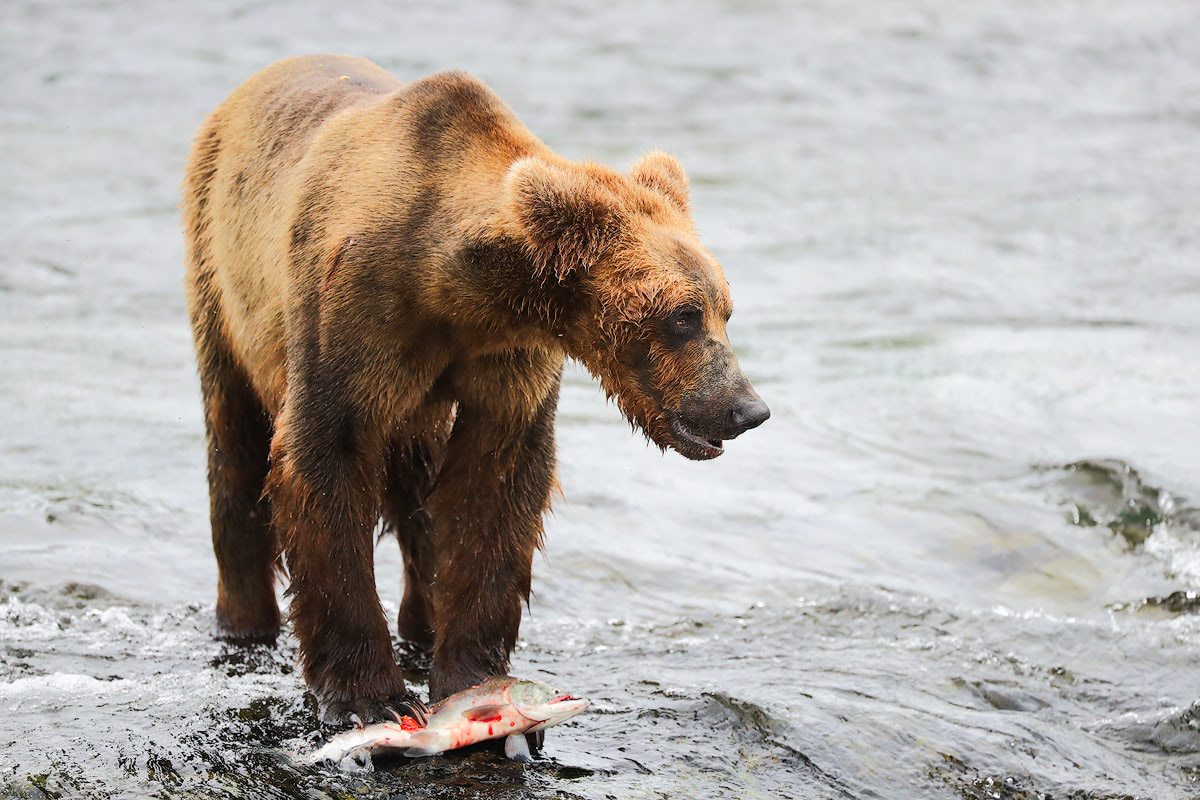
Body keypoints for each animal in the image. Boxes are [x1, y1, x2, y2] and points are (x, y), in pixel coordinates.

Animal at [182, 56, 772, 729]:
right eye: (682, 316)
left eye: (725, 309)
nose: (747, 408)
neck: (451, 282)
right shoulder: (354, 311)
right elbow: (326, 460)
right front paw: (371, 696)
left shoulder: (506, 357)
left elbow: (495, 484)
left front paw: (471, 674)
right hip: (220, 270)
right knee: (234, 443)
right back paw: (245, 622)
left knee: (419, 484)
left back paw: (421, 624)